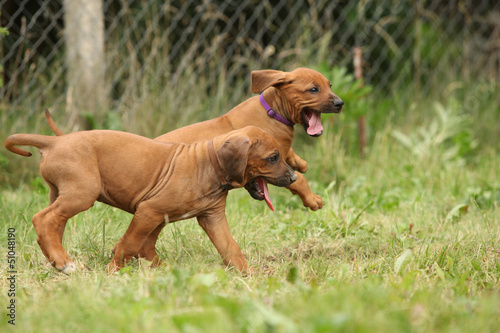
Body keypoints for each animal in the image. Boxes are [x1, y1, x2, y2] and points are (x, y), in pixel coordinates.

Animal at [4, 124, 296, 272]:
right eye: (273, 158)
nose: (294, 177)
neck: (208, 165)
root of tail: (54, 142)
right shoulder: (148, 211)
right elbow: (130, 244)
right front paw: (114, 272)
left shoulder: (209, 218)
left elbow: (230, 249)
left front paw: (249, 277)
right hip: (82, 193)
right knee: (42, 219)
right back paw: (64, 263)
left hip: (61, 194)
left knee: (52, 225)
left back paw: (57, 261)